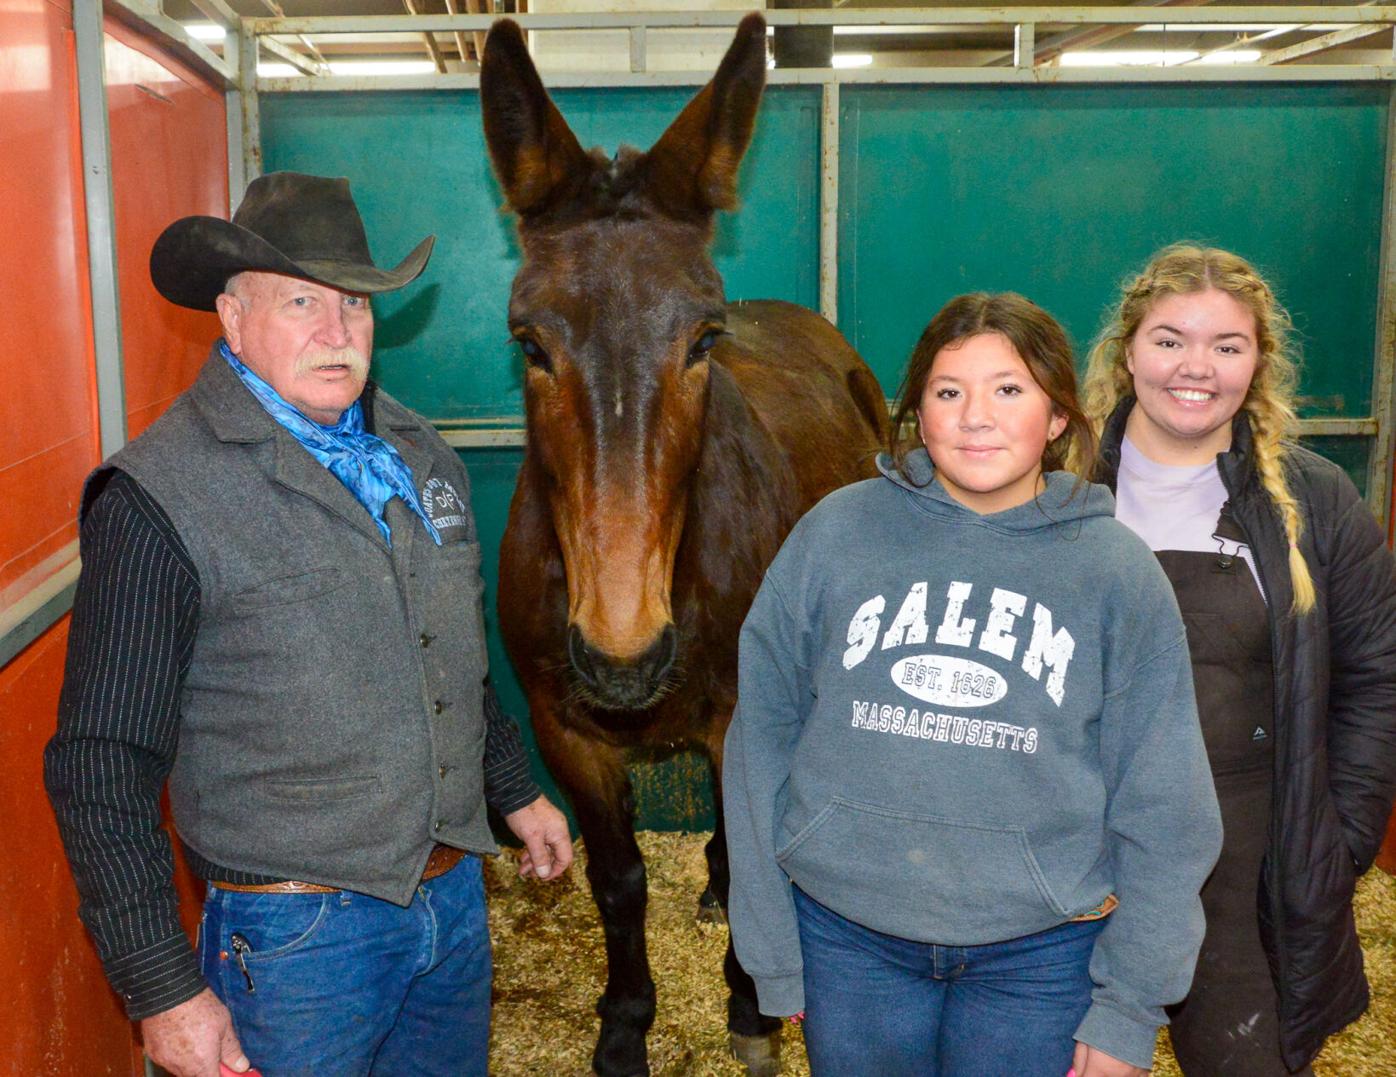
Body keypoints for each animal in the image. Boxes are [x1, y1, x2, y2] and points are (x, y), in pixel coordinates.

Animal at [481, 14, 889, 1075]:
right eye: (529, 342)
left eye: (703, 339)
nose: (624, 655)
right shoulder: (566, 730)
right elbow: (618, 877)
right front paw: (626, 1022)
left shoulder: (744, 714)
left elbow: (747, 850)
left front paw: (748, 1006)